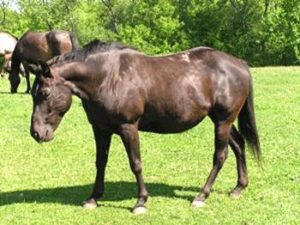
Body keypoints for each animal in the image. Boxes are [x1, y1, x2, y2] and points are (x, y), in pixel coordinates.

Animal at [29, 39, 262, 214]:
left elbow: (136, 164)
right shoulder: (100, 129)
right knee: (239, 145)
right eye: (32, 92)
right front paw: (93, 198)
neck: (106, 77)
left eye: (45, 93)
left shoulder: (128, 128)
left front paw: (141, 201)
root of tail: (239, 63)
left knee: (220, 156)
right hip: (221, 120)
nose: (36, 133)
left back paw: (201, 196)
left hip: (223, 121)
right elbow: (100, 162)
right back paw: (239, 187)